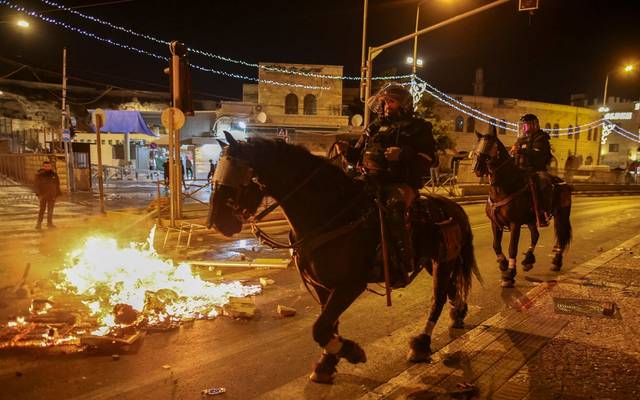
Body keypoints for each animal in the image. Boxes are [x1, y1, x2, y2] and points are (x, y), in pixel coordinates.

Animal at [206, 132, 480, 384]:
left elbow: (319, 327)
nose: (217, 223)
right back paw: (459, 313)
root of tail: (454, 207)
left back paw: (421, 344)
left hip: (443, 262)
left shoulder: (350, 286)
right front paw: (327, 362)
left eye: (239, 176)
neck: (331, 213)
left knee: (438, 299)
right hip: (432, 262)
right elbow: (328, 324)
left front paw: (350, 351)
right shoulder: (322, 286)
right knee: (451, 290)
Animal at [470, 129, 568, 288]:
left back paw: (556, 261)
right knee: (535, 235)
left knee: (561, 237)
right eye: (477, 147)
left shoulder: (514, 224)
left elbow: (512, 248)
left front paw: (510, 273)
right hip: (531, 220)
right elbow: (496, 245)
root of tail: (560, 181)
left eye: (491, 147)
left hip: (561, 215)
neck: (506, 186)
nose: (476, 168)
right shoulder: (495, 223)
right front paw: (503, 263)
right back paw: (528, 260)